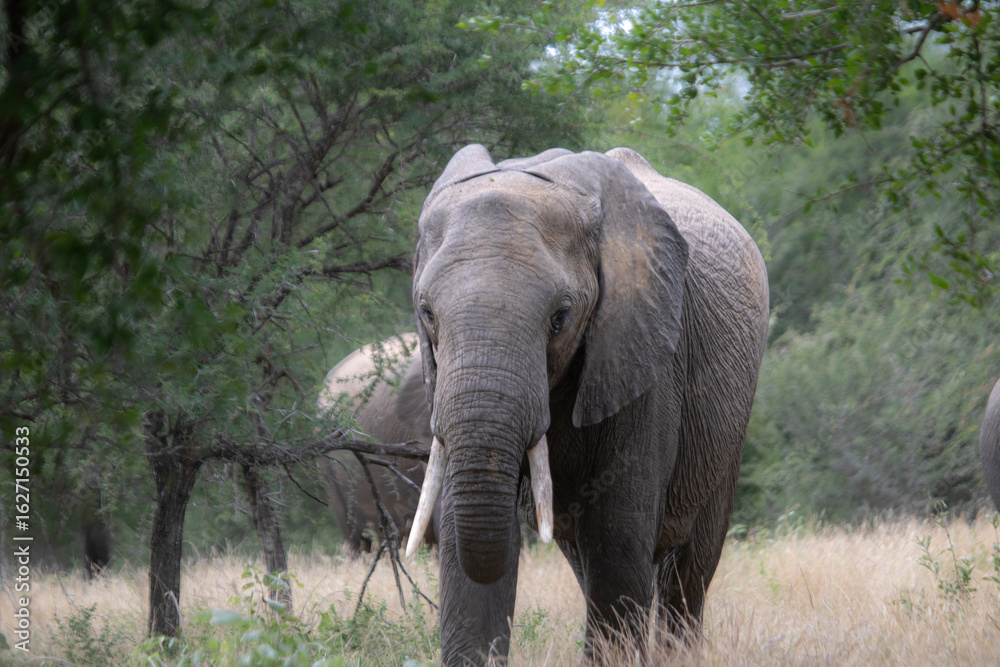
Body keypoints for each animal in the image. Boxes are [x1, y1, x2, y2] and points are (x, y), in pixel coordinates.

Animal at [404, 145, 769, 664]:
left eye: (561, 317)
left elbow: (616, 533)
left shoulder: (643, 350)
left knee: (687, 568)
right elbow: (461, 530)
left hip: (728, 421)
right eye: (427, 313)